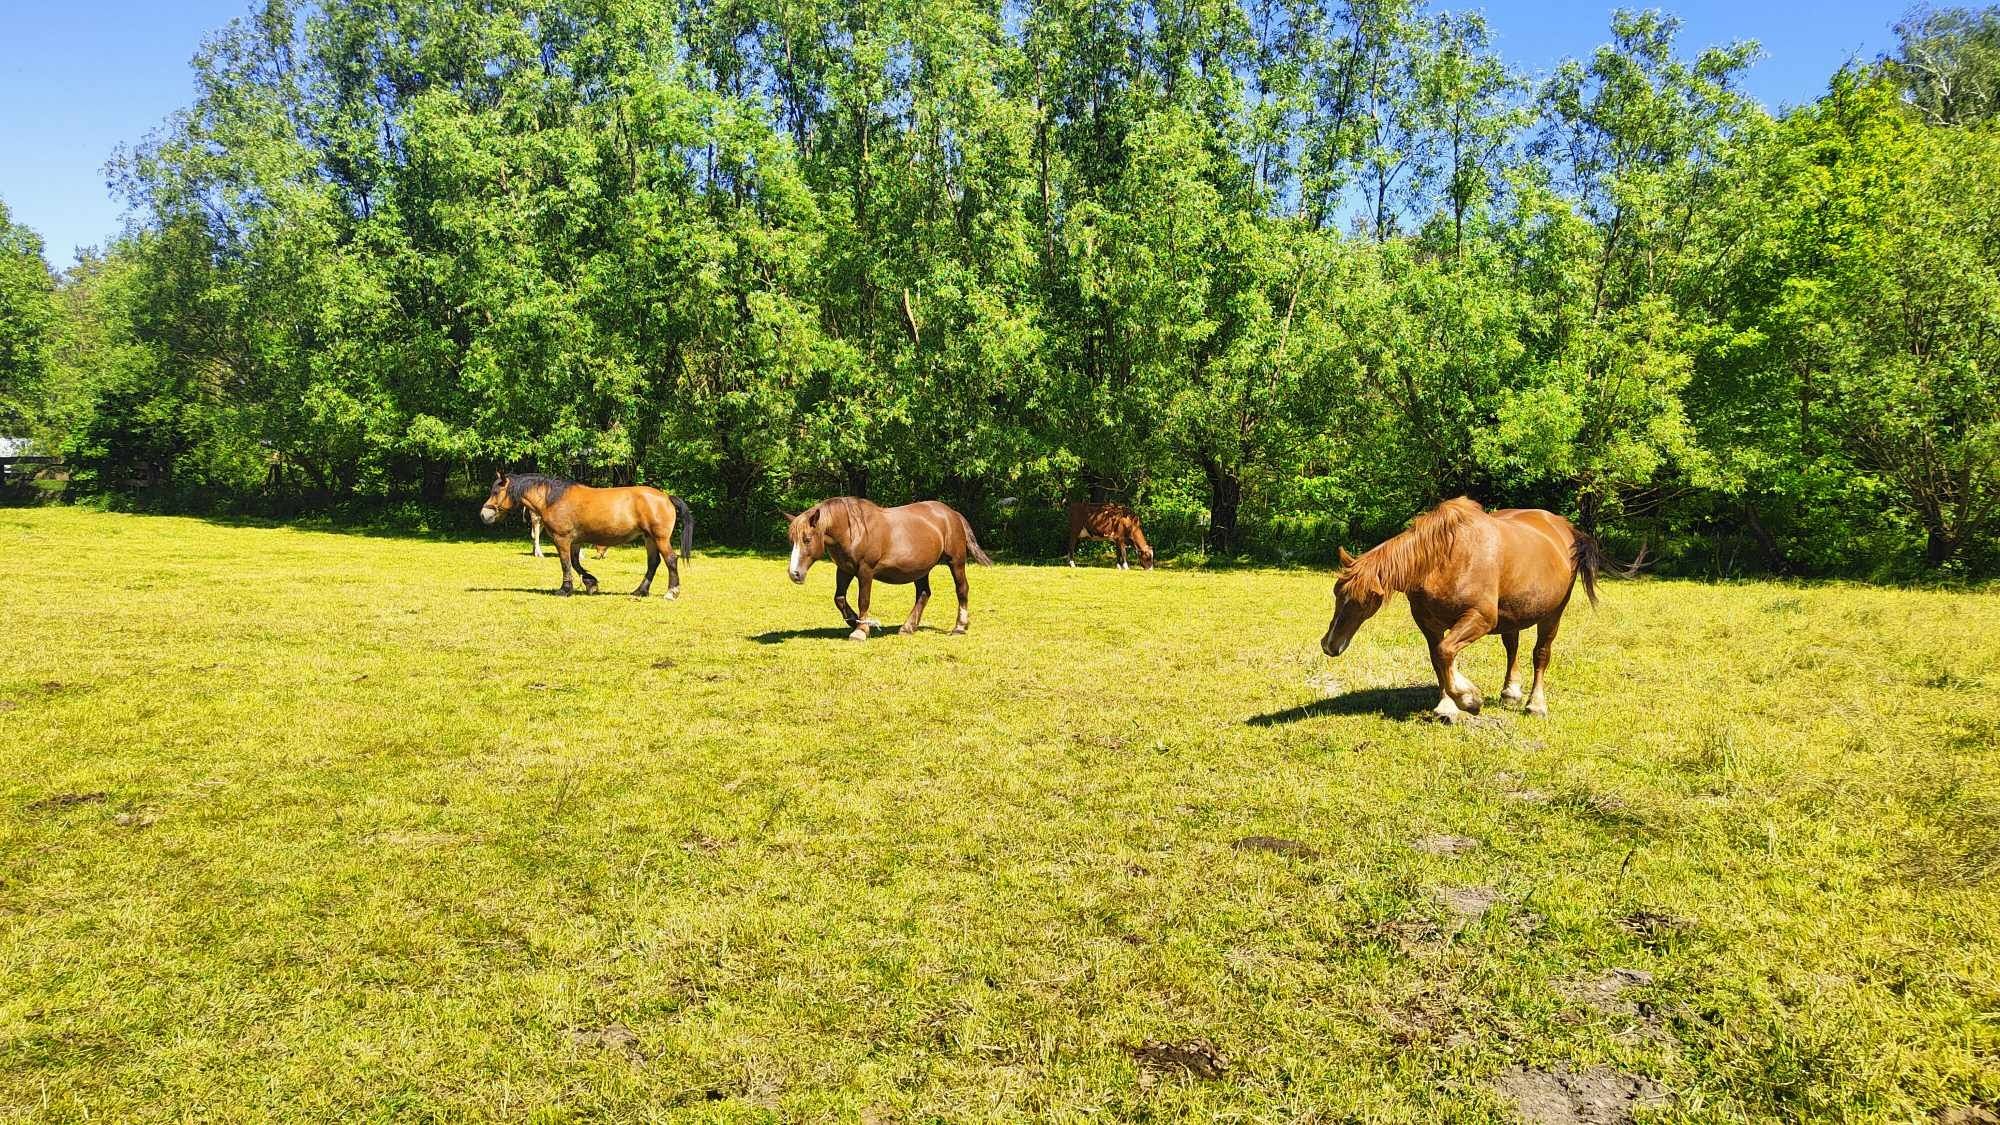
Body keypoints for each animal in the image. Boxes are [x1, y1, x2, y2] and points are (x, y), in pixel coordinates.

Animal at [478, 472, 692, 596]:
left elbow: (565, 563)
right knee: (653, 563)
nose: (484, 514)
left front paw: (565, 589)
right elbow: (575, 563)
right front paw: (591, 583)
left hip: (660, 538)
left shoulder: (562, 539)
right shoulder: (575, 541)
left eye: (496, 492)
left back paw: (672, 592)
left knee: (670, 560)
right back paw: (640, 591)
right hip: (649, 538)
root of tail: (666, 497)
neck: (553, 499)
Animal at [788, 492, 992, 636]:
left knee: (962, 589)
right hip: (921, 569)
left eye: (807, 539)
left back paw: (959, 627)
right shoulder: (844, 569)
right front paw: (854, 620)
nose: (794, 573)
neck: (853, 530)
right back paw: (908, 627)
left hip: (955, 561)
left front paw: (861, 630)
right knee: (923, 593)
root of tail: (952, 514)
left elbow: (863, 600)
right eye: (792, 540)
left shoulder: (865, 571)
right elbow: (839, 598)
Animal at [1320, 496, 1600, 716]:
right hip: (1512, 614)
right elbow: (1439, 658)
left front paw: (1468, 699)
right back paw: (1510, 692)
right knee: (1512, 647)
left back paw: (1536, 705)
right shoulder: (1428, 623)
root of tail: (1564, 527)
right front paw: (1447, 705)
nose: (1329, 644)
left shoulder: (1480, 618)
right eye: (1336, 592)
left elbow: (1445, 652)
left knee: (1541, 654)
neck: (1445, 559)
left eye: (1363, 601)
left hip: (1553, 614)